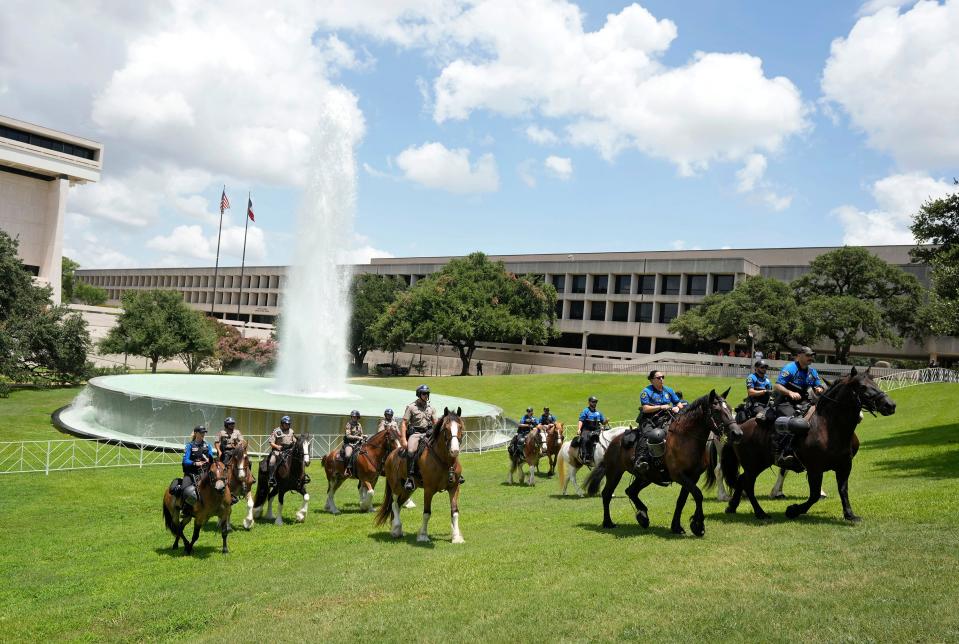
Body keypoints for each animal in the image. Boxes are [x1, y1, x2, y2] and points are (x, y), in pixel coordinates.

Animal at [376, 408, 464, 544]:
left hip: (408, 490)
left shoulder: (454, 488)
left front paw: (456, 537)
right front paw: (423, 535)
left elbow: (454, 512)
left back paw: (397, 530)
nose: (454, 450)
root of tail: (391, 455)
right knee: (394, 504)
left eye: (460, 427)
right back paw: (396, 528)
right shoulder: (428, 490)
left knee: (399, 504)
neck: (445, 461)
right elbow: (427, 513)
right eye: (446, 428)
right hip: (396, 487)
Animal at [584, 390, 744, 536]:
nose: (737, 433)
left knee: (631, 491)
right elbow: (698, 495)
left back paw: (643, 516)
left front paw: (677, 526)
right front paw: (698, 525)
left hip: (646, 477)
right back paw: (608, 522)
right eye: (717, 410)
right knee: (607, 494)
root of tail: (614, 441)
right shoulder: (679, 476)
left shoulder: (692, 477)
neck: (686, 439)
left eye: (730, 408)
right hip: (614, 473)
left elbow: (682, 500)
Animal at [724, 368, 896, 524]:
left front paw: (850, 515)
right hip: (753, 465)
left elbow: (843, 490)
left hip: (759, 464)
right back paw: (760, 512)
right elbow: (814, 496)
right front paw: (792, 510)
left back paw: (732, 507)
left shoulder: (845, 466)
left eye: (875, 383)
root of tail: (740, 427)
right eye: (862, 386)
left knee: (741, 479)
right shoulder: (815, 469)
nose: (890, 405)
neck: (829, 428)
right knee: (748, 484)